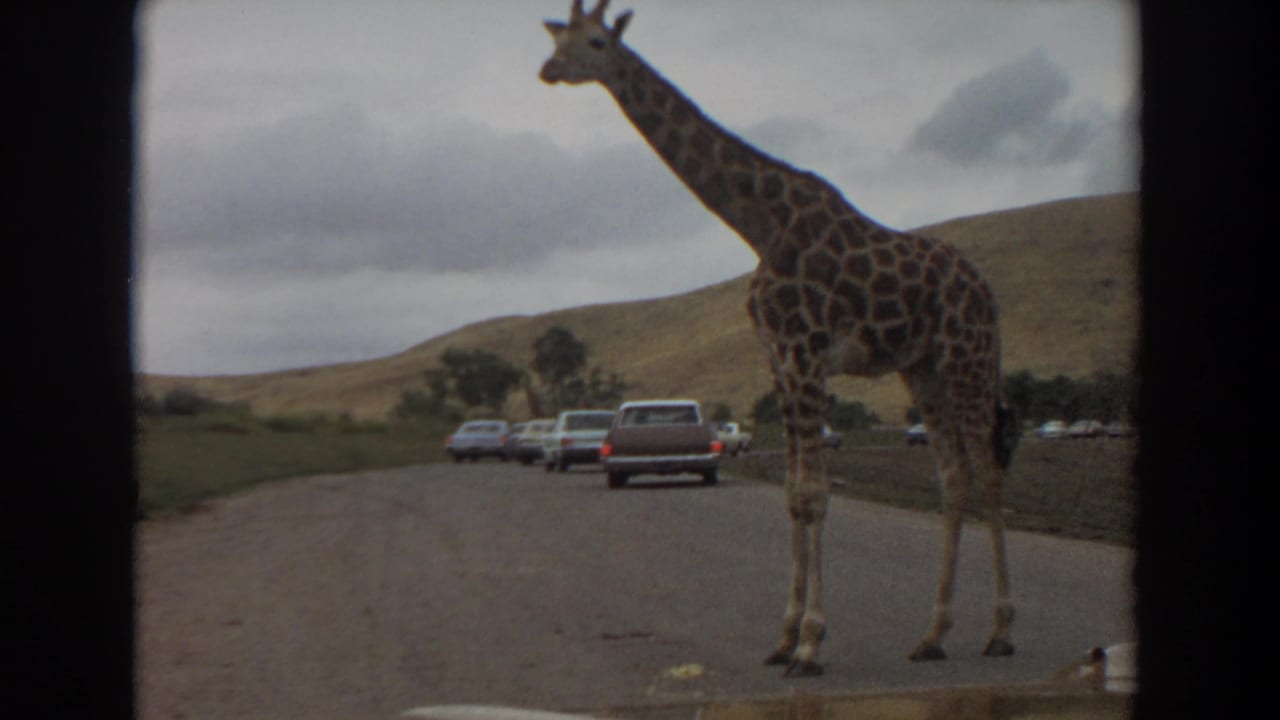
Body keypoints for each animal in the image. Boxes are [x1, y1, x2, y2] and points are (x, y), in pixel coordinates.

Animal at [539, 0, 1019, 676]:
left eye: (597, 42)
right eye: (560, 36)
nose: (549, 69)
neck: (759, 226)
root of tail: (988, 292)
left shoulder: (806, 354)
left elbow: (815, 494)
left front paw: (813, 643)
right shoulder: (780, 361)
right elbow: (794, 495)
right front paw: (784, 636)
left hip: (967, 358)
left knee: (989, 468)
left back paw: (1000, 631)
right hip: (923, 367)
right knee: (953, 476)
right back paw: (932, 636)